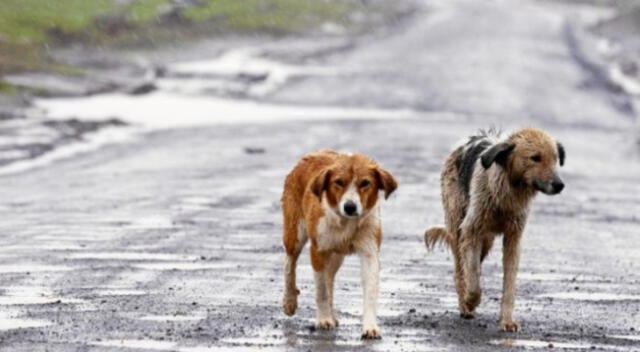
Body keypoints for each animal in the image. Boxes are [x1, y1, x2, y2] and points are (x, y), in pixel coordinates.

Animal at [280, 150, 396, 340]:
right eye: (339, 182)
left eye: (365, 183)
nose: (350, 207)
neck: (346, 223)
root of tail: (311, 154)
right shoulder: (318, 250)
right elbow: (321, 291)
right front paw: (323, 319)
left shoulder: (369, 252)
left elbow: (370, 292)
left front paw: (370, 327)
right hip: (294, 235)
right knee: (289, 266)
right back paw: (289, 301)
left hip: (336, 256)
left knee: (329, 278)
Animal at [424, 128, 564, 332]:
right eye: (535, 157)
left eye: (555, 159)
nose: (559, 185)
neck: (507, 194)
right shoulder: (471, 230)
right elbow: (473, 278)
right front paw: (470, 300)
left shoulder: (513, 238)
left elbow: (509, 285)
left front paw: (507, 321)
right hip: (458, 228)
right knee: (460, 271)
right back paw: (465, 306)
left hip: (486, 240)